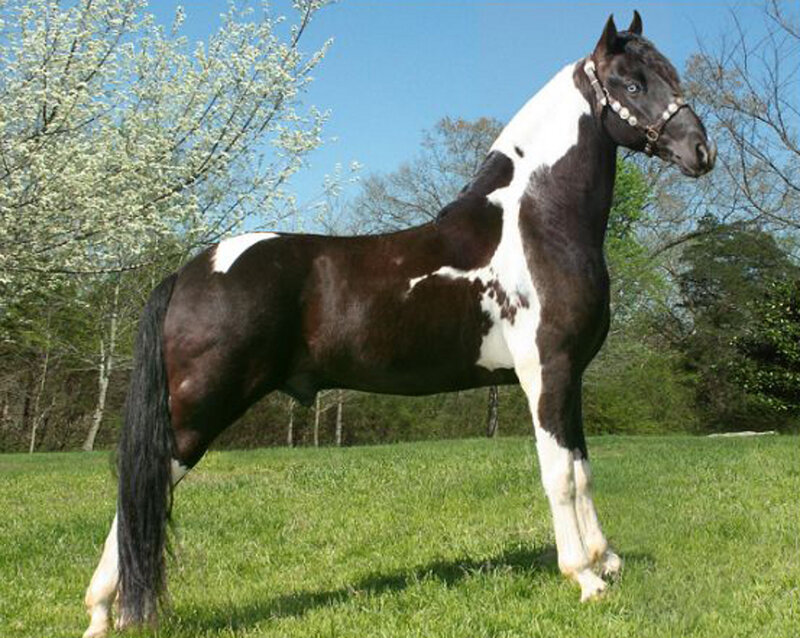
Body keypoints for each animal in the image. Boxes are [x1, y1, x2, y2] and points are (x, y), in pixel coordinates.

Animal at [82, 12, 715, 637]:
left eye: (668, 74)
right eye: (631, 84)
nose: (700, 150)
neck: (536, 224)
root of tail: (187, 271)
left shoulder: (570, 378)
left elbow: (582, 469)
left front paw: (607, 561)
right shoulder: (547, 372)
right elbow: (557, 475)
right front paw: (584, 577)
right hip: (199, 409)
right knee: (140, 490)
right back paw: (103, 609)